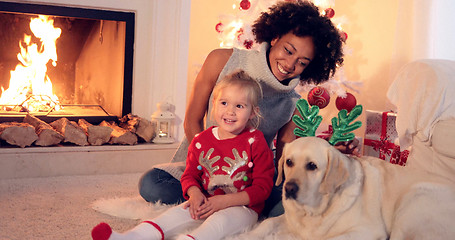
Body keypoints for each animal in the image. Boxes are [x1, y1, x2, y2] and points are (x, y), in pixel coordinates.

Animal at [237, 137, 455, 240]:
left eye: (312, 166)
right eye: (289, 162)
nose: (289, 189)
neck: (315, 211)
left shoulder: (367, 230)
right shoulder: (289, 220)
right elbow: (267, 223)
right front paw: (245, 235)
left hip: (412, 201)